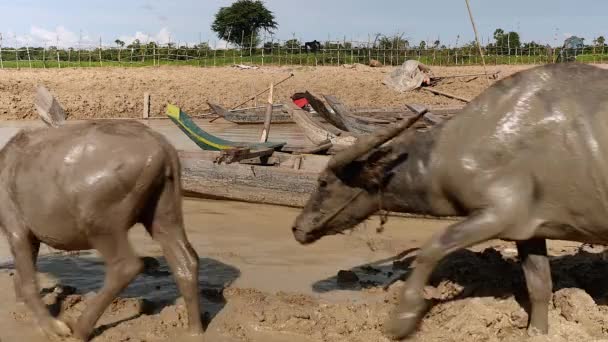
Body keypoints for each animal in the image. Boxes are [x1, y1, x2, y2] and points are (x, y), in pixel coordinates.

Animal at [0, 95, 204, 340]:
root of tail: (165, 150)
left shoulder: (15, 227)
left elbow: (29, 281)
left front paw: (54, 328)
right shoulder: (31, 234)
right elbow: (23, 276)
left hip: (100, 222)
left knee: (126, 266)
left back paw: (80, 329)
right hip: (164, 210)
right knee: (186, 260)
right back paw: (194, 329)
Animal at [290, 62, 608, 340]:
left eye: (323, 182)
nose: (296, 228)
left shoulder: (497, 215)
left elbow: (431, 248)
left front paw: (402, 320)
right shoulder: (529, 229)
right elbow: (539, 286)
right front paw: (536, 332)